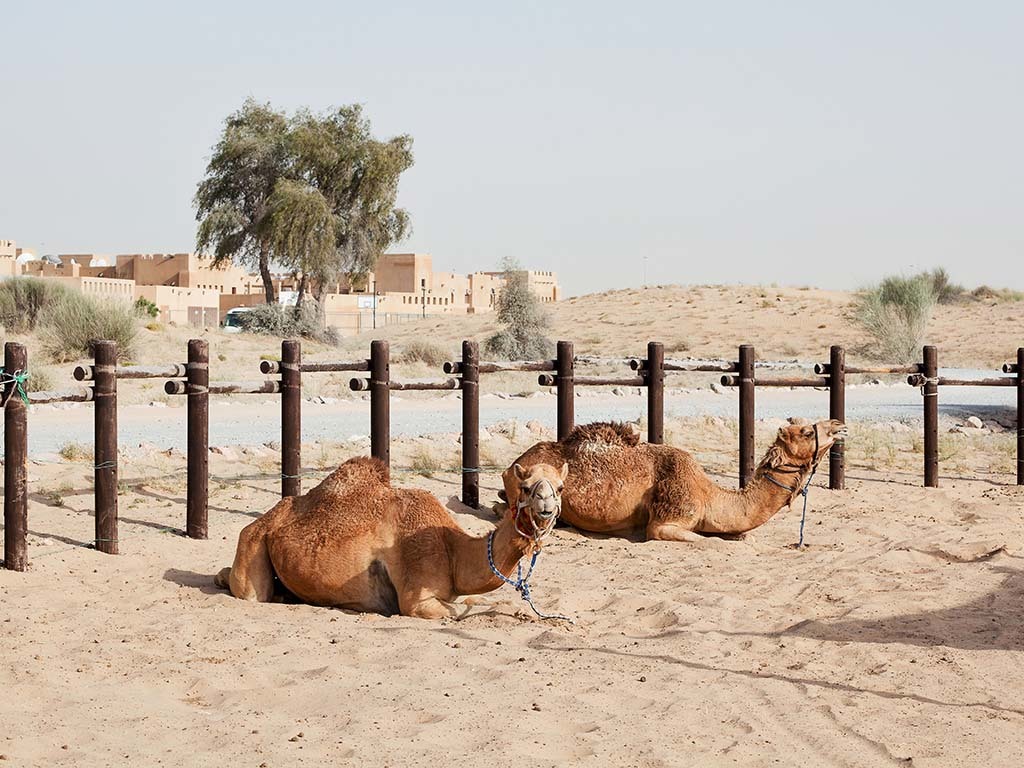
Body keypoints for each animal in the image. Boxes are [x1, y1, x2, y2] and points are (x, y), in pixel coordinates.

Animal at [214, 454, 569, 622]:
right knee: (250, 592)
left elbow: (487, 601)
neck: (453, 549)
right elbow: (462, 611)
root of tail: (262, 521)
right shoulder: (417, 600)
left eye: (560, 487)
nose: (546, 506)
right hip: (253, 544)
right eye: (526, 487)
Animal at [501, 421, 847, 540]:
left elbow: (741, 537)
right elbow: (707, 542)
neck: (709, 496)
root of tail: (513, 464)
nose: (839, 425)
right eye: (807, 432)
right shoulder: (666, 522)